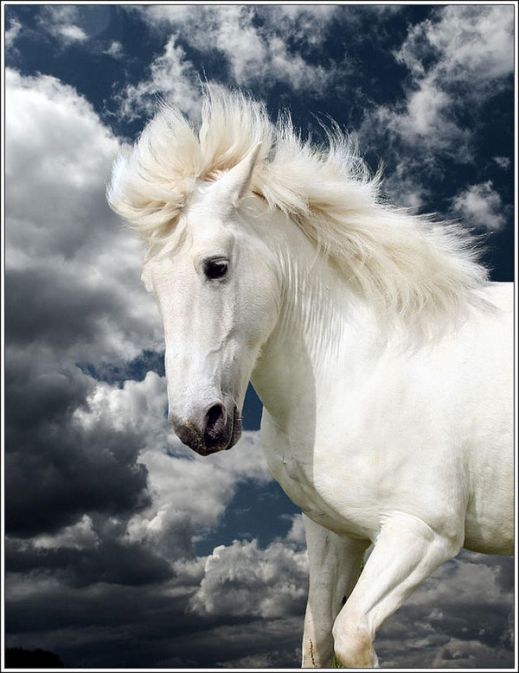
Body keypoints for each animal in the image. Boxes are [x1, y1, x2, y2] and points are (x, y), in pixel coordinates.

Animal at [107, 88, 514, 668]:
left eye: (215, 266)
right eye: (150, 285)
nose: (197, 426)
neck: (360, 365)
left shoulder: (420, 533)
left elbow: (350, 634)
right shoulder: (332, 533)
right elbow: (318, 640)